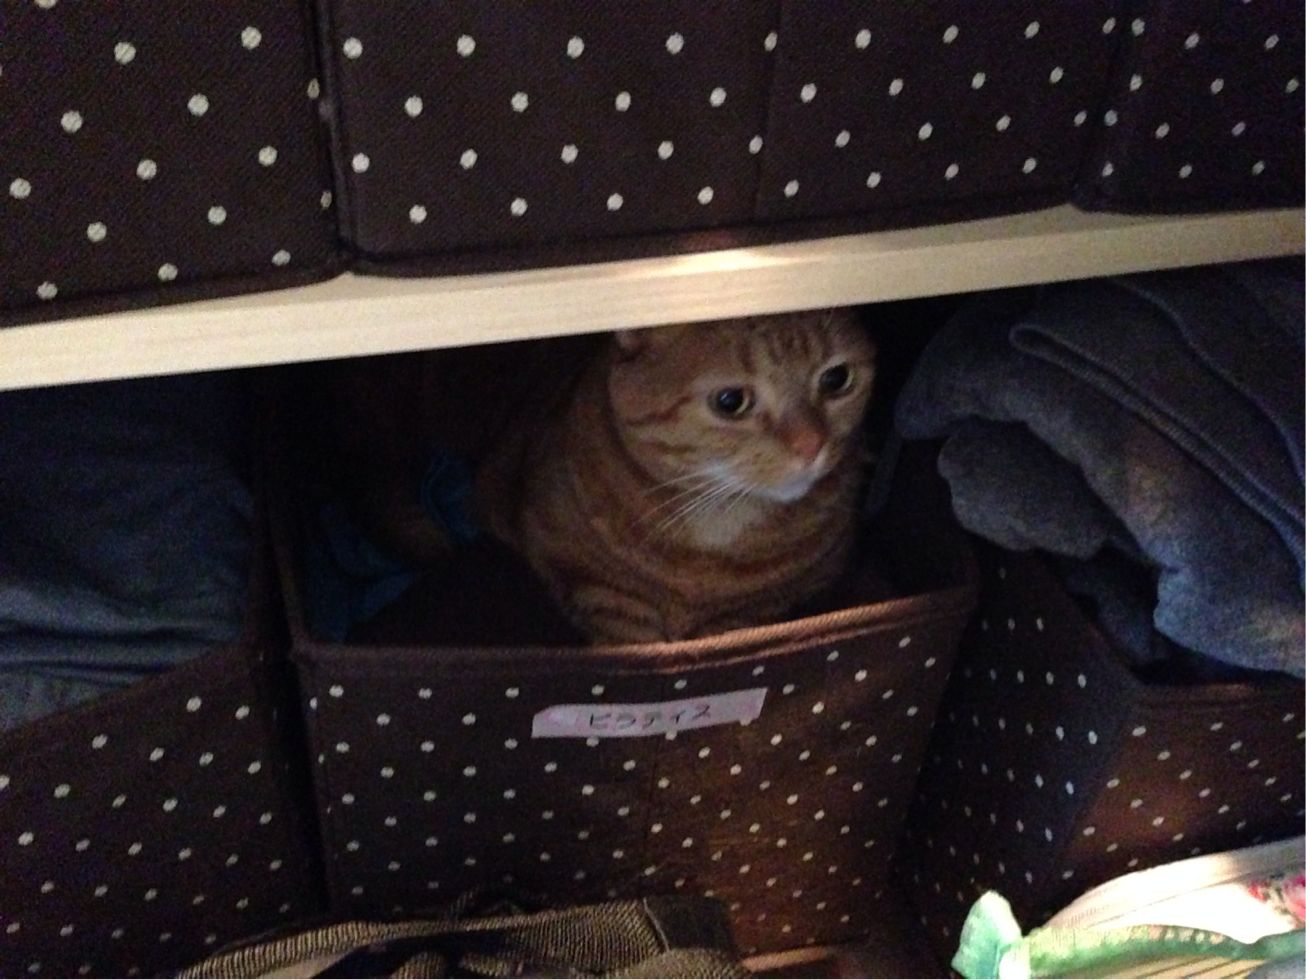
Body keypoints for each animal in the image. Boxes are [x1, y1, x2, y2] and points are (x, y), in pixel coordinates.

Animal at [476, 309, 877, 644]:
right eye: (731, 401)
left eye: (837, 379)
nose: (812, 444)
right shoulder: (570, 565)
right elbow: (621, 622)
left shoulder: (777, 600)